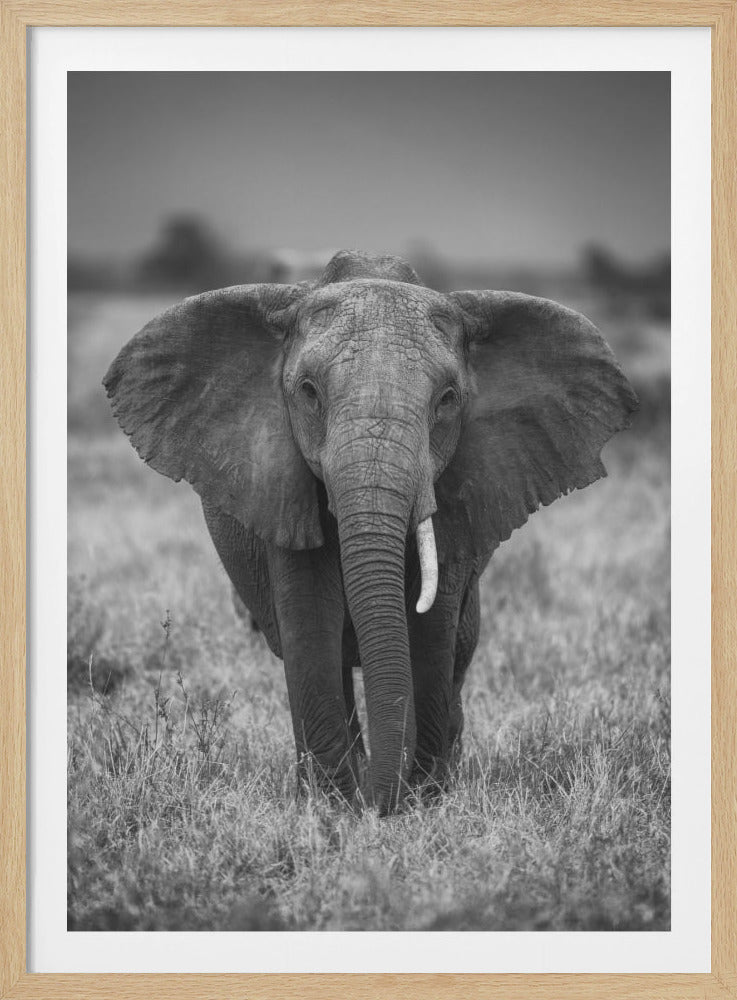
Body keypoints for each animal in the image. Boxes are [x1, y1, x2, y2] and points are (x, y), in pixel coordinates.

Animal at [104, 249, 638, 814]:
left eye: (447, 399)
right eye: (308, 393)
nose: (382, 804)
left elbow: (431, 631)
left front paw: (420, 801)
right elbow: (310, 623)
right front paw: (333, 807)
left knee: (459, 652)